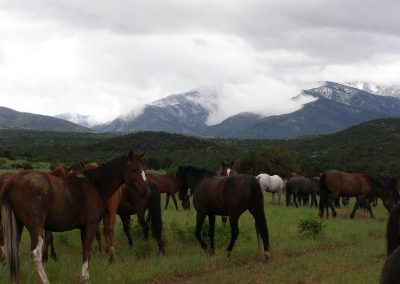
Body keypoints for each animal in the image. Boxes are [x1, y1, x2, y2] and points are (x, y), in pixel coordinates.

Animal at [0, 150, 148, 282]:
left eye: (144, 169)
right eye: (134, 169)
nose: (147, 191)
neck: (95, 185)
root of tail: (13, 182)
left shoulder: (83, 228)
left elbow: (86, 251)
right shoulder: (91, 225)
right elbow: (87, 251)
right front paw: (85, 278)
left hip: (17, 225)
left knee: (14, 250)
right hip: (35, 227)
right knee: (35, 253)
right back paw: (46, 280)